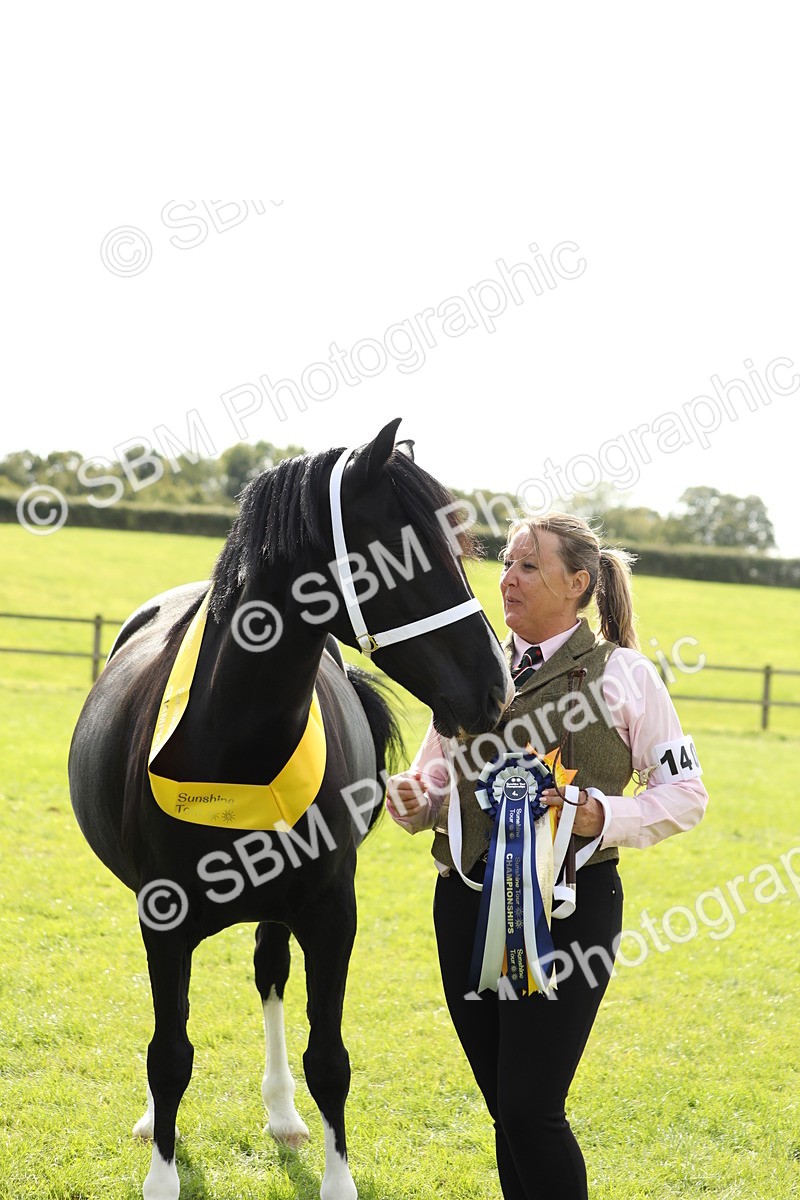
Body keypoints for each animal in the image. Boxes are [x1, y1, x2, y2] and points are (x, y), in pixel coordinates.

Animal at [68, 418, 513, 1200]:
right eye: (405, 552)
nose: (496, 686)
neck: (230, 740)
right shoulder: (163, 919)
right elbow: (169, 1051)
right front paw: (162, 1174)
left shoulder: (332, 915)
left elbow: (328, 1057)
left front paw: (336, 1179)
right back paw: (157, 1118)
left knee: (270, 974)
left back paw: (280, 1112)